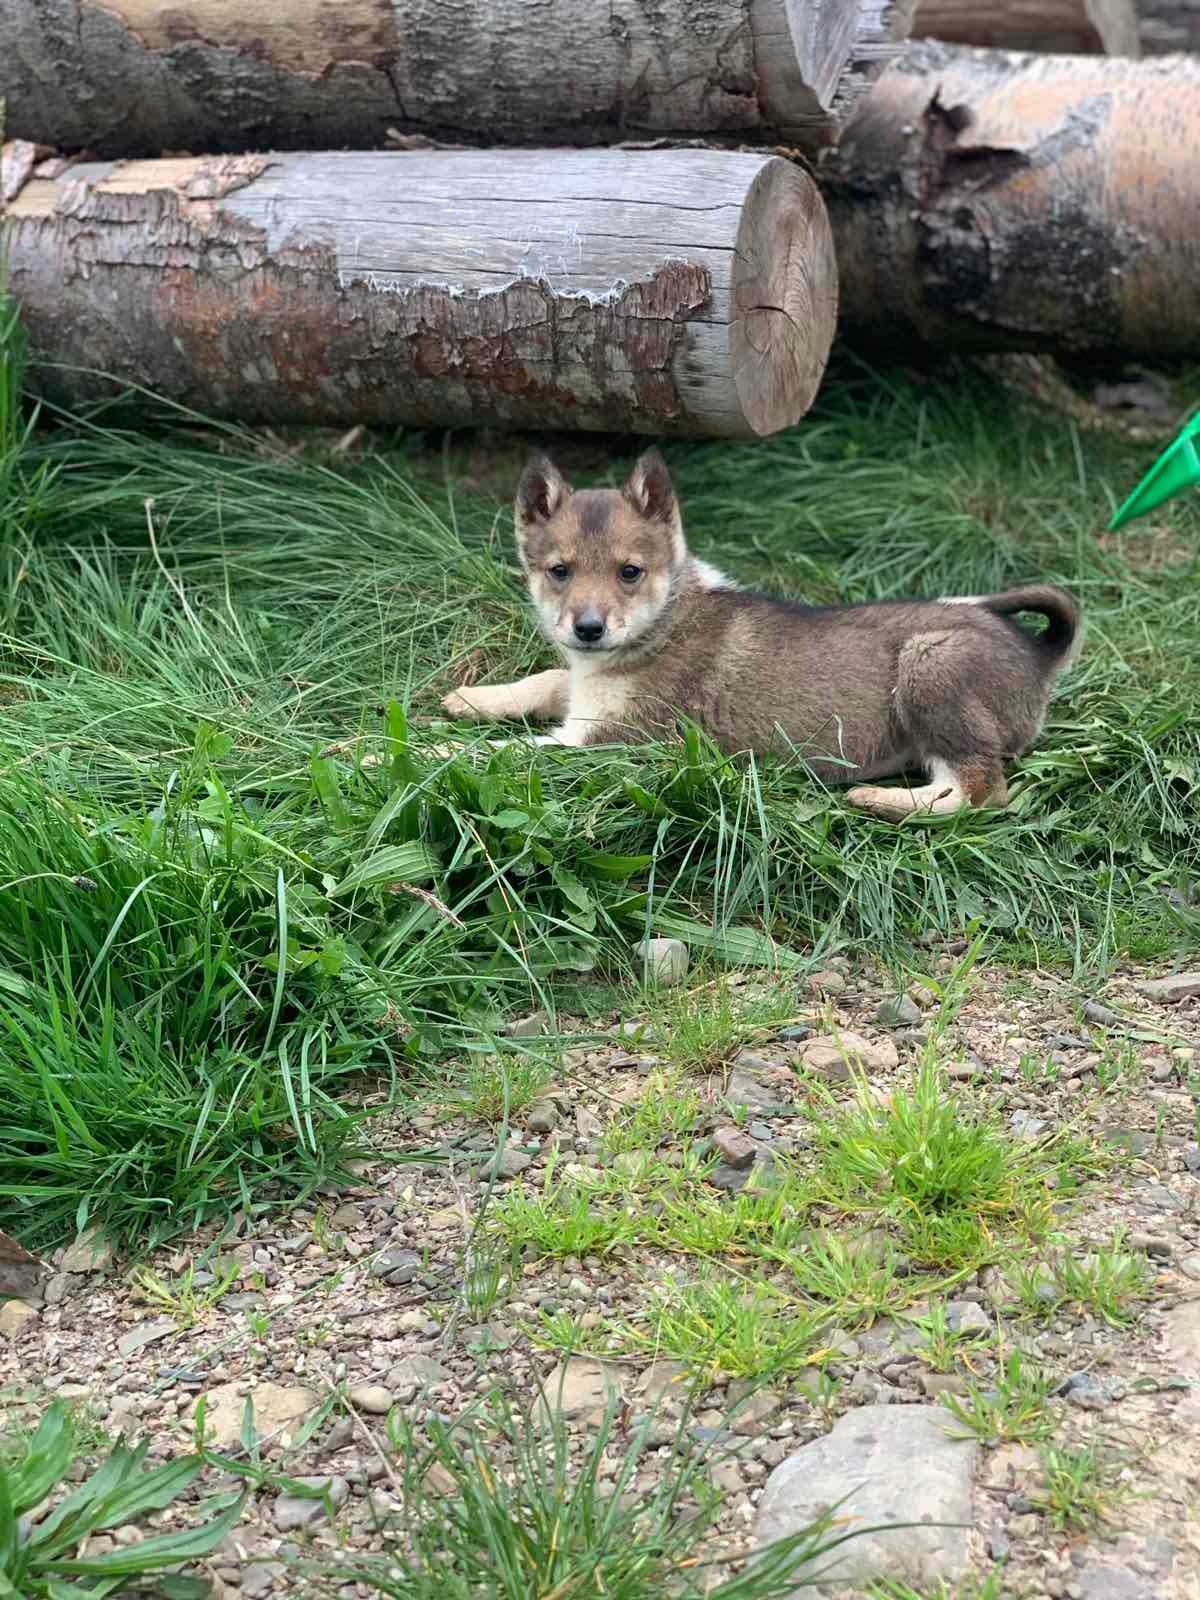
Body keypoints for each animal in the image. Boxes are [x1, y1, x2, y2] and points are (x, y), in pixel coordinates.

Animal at [441, 454, 1081, 819]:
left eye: (629, 572)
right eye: (560, 571)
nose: (589, 628)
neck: (663, 623)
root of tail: (1039, 654)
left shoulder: (607, 741)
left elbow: (499, 754)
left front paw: (422, 753)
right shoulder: (582, 697)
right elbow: (548, 679)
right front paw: (471, 699)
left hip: (930, 665)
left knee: (980, 790)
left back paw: (878, 801)